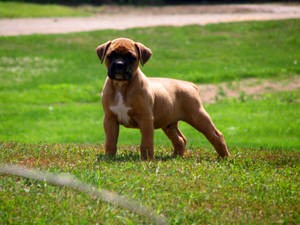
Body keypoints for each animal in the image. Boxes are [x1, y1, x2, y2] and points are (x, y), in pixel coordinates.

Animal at [96, 37, 230, 160]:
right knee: (180, 139)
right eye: (110, 55)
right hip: (169, 124)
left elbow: (146, 142)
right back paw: (176, 157)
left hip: (197, 116)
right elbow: (110, 141)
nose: (119, 64)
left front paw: (147, 160)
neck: (121, 85)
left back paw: (225, 157)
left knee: (216, 135)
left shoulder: (145, 119)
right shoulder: (110, 119)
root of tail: (190, 84)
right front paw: (109, 157)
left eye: (131, 57)